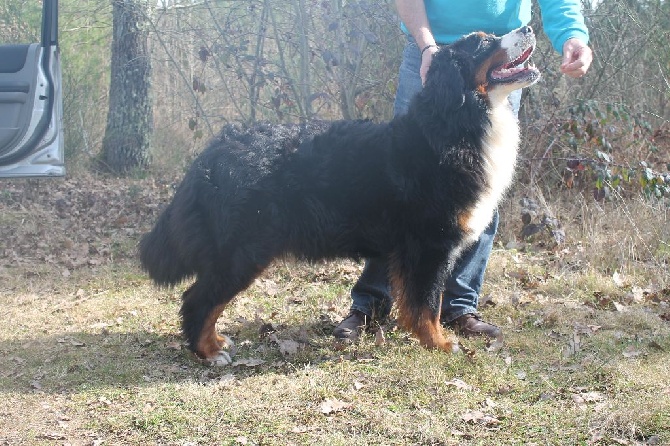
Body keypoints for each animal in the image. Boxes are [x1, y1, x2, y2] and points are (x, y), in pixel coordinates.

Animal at [140, 26, 540, 364]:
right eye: (484, 42)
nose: (528, 27)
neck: (456, 123)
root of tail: (215, 150)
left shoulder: (411, 250)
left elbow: (414, 302)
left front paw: (421, 336)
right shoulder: (430, 245)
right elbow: (428, 303)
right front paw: (440, 343)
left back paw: (214, 343)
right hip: (241, 251)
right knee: (198, 300)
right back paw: (209, 351)